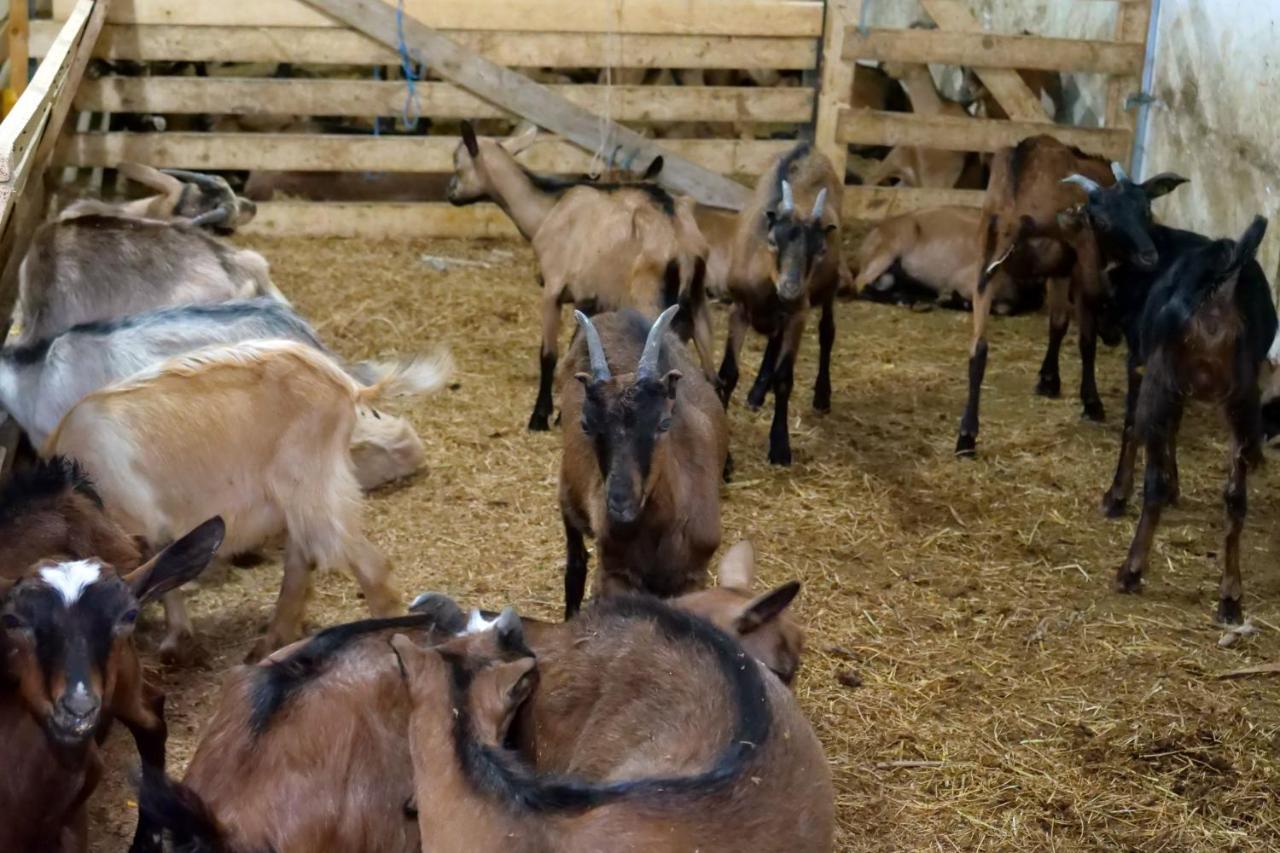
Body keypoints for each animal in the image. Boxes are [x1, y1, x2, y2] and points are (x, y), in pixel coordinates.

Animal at [46, 338, 455, 655]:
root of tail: (347, 386)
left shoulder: (138, 529)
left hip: (313, 490)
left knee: (369, 566)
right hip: (301, 497)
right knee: (300, 563)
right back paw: (272, 642)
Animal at [560, 306, 732, 617]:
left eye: (664, 422)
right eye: (586, 424)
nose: (620, 501)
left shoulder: (692, 577)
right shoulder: (615, 574)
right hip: (567, 497)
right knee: (576, 565)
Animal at [721, 145, 849, 466]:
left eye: (820, 249)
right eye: (772, 240)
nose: (791, 288)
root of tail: (809, 148)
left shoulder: (797, 315)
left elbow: (784, 379)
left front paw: (780, 446)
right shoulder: (738, 309)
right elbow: (728, 373)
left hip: (828, 289)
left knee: (827, 331)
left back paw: (821, 396)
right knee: (774, 341)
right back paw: (756, 393)